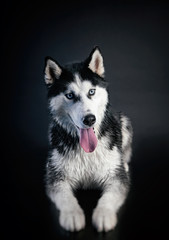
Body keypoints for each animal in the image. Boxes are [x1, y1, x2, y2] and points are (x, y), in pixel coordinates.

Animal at [44, 47, 133, 232]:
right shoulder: (57, 179)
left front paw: (104, 214)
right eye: (70, 95)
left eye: (91, 91)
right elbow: (66, 198)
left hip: (124, 123)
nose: (90, 119)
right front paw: (72, 215)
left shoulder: (115, 178)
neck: (86, 151)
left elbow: (109, 196)